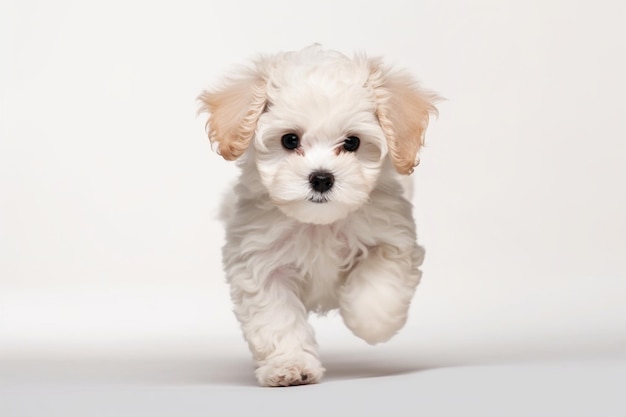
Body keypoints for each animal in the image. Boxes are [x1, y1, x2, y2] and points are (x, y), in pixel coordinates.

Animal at [197, 44, 436, 386]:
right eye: (289, 140)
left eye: (352, 142)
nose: (322, 178)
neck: (318, 224)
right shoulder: (261, 263)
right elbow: (277, 318)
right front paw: (290, 366)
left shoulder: (392, 237)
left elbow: (378, 286)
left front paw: (372, 323)